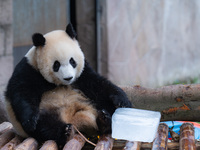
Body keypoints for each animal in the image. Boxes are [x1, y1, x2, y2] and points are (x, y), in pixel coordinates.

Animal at [4, 23, 133, 146]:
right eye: (56, 64)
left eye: (72, 61)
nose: (68, 78)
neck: (58, 83)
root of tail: (75, 120)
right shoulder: (28, 70)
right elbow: (22, 93)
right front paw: (30, 121)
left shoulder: (83, 73)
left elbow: (98, 84)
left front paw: (122, 101)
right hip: (46, 111)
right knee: (45, 126)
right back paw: (65, 132)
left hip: (90, 102)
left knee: (104, 104)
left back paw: (105, 120)